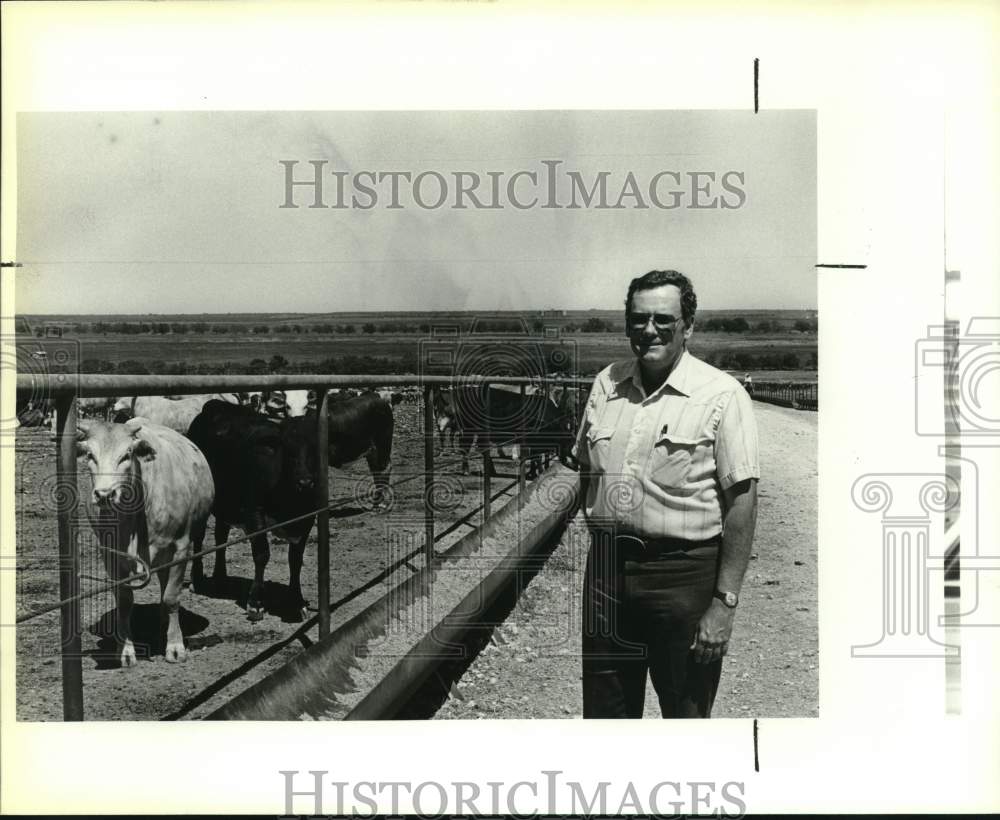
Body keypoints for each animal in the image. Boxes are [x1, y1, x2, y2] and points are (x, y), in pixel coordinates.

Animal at [79, 420, 216, 664]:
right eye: (90, 455)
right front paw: (125, 650)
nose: (104, 494)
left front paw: (175, 647)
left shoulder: (180, 548)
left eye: (127, 454)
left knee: (166, 590)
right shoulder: (109, 554)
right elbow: (124, 601)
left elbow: (171, 597)